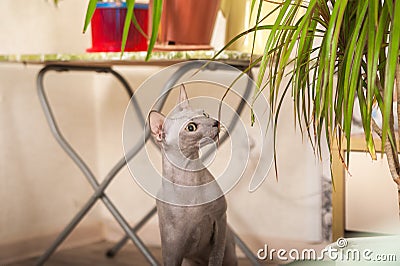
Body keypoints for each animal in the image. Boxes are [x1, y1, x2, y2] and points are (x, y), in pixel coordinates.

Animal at [149, 85, 238, 266]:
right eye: (191, 128)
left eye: (204, 114)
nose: (215, 122)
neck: (190, 179)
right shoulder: (172, 247)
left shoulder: (220, 221)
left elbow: (215, 259)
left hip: (229, 251)